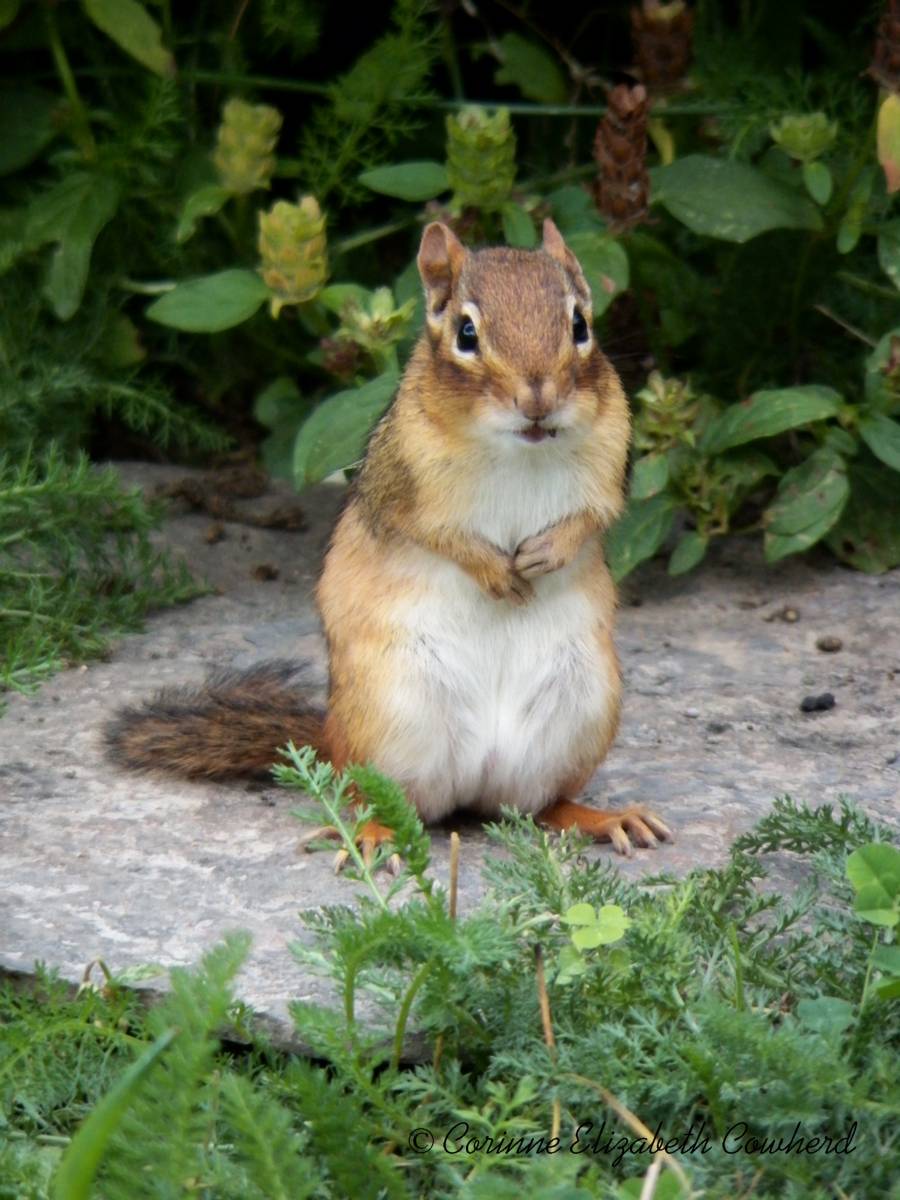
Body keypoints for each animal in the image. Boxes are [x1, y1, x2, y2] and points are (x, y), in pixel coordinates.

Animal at [105, 219, 672, 860]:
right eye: (466, 333)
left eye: (580, 325)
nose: (537, 399)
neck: (518, 449)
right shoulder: (401, 485)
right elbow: (438, 534)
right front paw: (495, 569)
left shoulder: (610, 460)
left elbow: (593, 518)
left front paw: (547, 551)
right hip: (388, 717)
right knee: (375, 798)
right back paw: (374, 835)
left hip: (583, 710)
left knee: (544, 806)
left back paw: (604, 817)